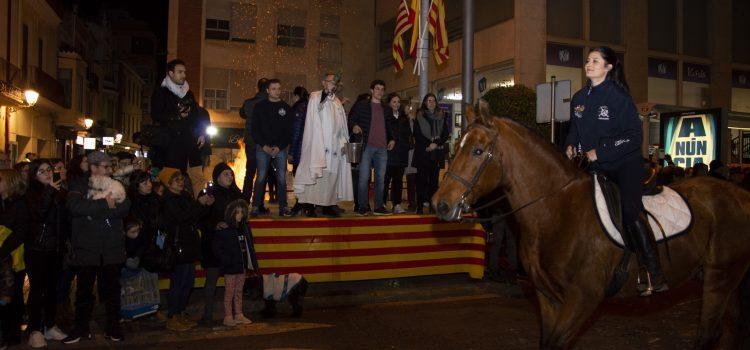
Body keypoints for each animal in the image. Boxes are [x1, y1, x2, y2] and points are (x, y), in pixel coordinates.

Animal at [432, 102, 750, 348]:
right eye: (457, 146)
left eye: (477, 151)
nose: (440, 204)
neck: (557, 210)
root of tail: (740, 194)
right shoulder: (548, 298)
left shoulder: (583, 298)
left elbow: (556, 343)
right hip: (725, 280)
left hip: (719, 276)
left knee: (709, 335)